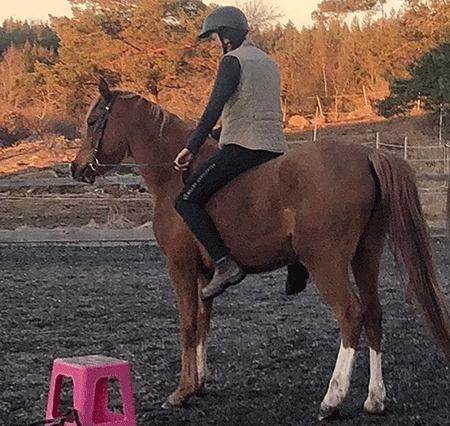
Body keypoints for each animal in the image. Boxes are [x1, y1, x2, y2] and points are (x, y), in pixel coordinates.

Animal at [70, 78, 450, 422]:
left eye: (93, 121)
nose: (75, 168)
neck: (174, 178)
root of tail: (365, 153)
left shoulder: (180, 267)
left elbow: (188, 324)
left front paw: (182, 391)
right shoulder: (206, 275)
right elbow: (204, 322)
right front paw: (200, 383)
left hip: (326, 262)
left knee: (350, 314)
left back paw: (332, 398)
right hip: (365, 256)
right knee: (373, 313)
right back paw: (374, 399)